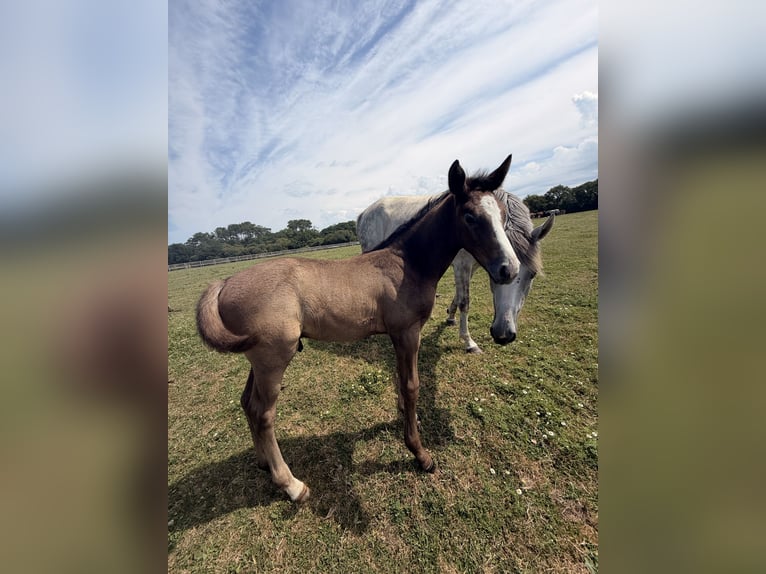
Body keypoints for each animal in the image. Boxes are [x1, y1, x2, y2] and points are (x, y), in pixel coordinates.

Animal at [196, 155, 519, 502]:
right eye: (470, 216)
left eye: (502, 215)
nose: (509, 269)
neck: (406, 264)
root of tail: (224, 282)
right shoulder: (407, 333)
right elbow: (411, 387)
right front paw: (420, 454)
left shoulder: (398, 336)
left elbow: (402, 385)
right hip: (273, 358)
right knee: (262, 413)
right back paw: (291, 484)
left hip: (256, 359)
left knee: (246, 402)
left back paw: (263, 463)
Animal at [357, 169, 554, 353]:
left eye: (532, 275)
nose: (503, 334)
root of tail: (363, 213)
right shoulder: (462, 266)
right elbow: (465, 301)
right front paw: (469, 342)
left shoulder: (471, 267)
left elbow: (458, 297)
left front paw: (450, 316)